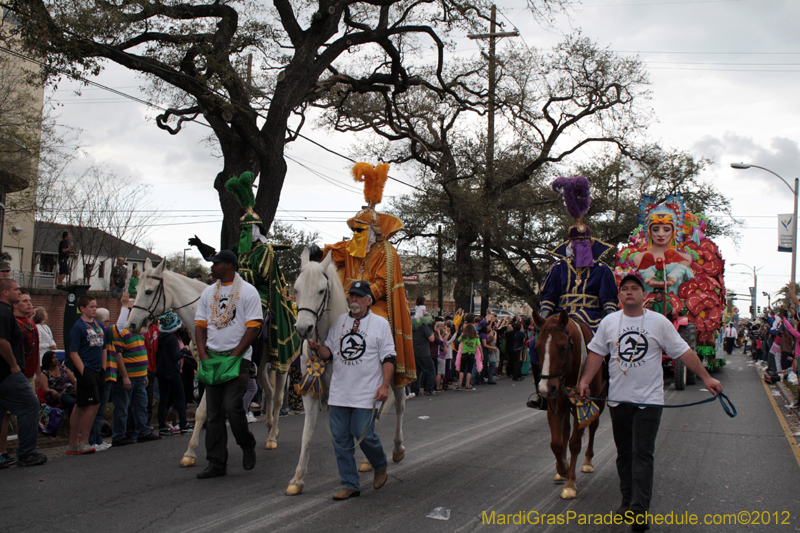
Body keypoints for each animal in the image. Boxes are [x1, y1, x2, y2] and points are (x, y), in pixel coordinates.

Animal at [125, 258, 288, 466]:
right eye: (136, 289)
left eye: (149, 291)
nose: (131, 325)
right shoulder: (205, 369)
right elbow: (204, 412)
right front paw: (190, 452)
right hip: (261, 366)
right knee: (268, 391)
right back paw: (270, 427)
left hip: (282, 363)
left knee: (277, 397)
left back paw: (272, 437)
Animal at [532, 308, 608, 498]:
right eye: (537, 347)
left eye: (563, 347)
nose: (545, 388)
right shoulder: (555, 405)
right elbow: (556, 443)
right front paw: (562, 469)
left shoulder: (583, 406)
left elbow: (575, 443)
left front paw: (570, 483)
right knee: (565, 430)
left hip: (600, 401)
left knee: (593, 426)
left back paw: (587, 461)